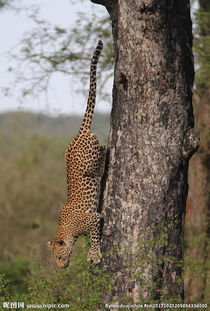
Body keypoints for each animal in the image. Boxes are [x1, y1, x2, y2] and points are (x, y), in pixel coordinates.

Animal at [48, 40, 106, 270]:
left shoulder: (95, 218)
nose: (61, 267)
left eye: (59, 256)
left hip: (91, 158)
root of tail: (78, 133)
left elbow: (95, 237)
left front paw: (94, 255)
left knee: (104, 150)